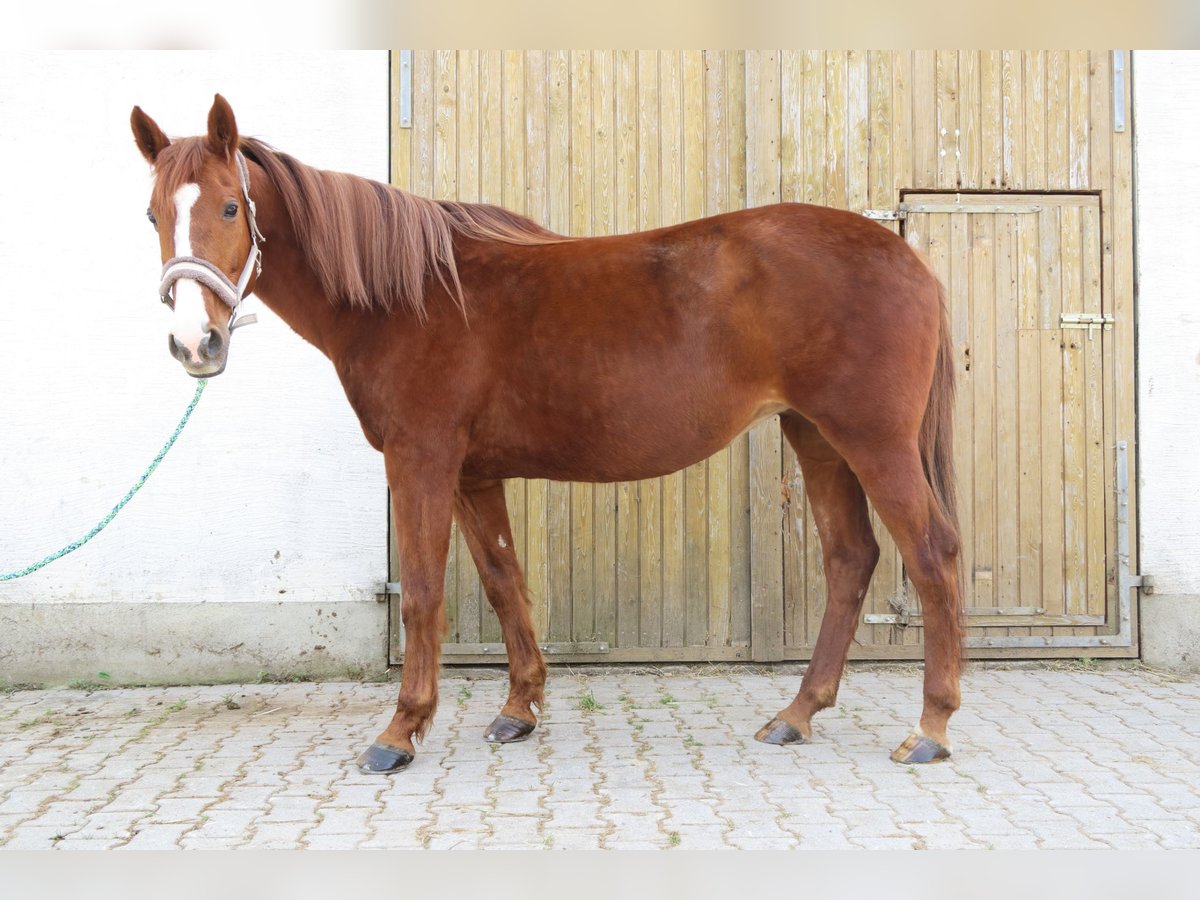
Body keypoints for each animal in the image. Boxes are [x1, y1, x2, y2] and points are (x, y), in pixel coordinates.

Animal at [131, 98, 960, 777]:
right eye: (150, 214)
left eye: (231, 207)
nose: (194, 344)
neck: (410, 294)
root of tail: (908, 259)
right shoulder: (473, 474)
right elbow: (504, 579)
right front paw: (518, 710)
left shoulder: (421, 461)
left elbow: (423, 594)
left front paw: (399, 733)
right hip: (815, 436)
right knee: (851, 559)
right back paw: (796, 714)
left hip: (872, 441)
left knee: (931, 554)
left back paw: (930, 727)